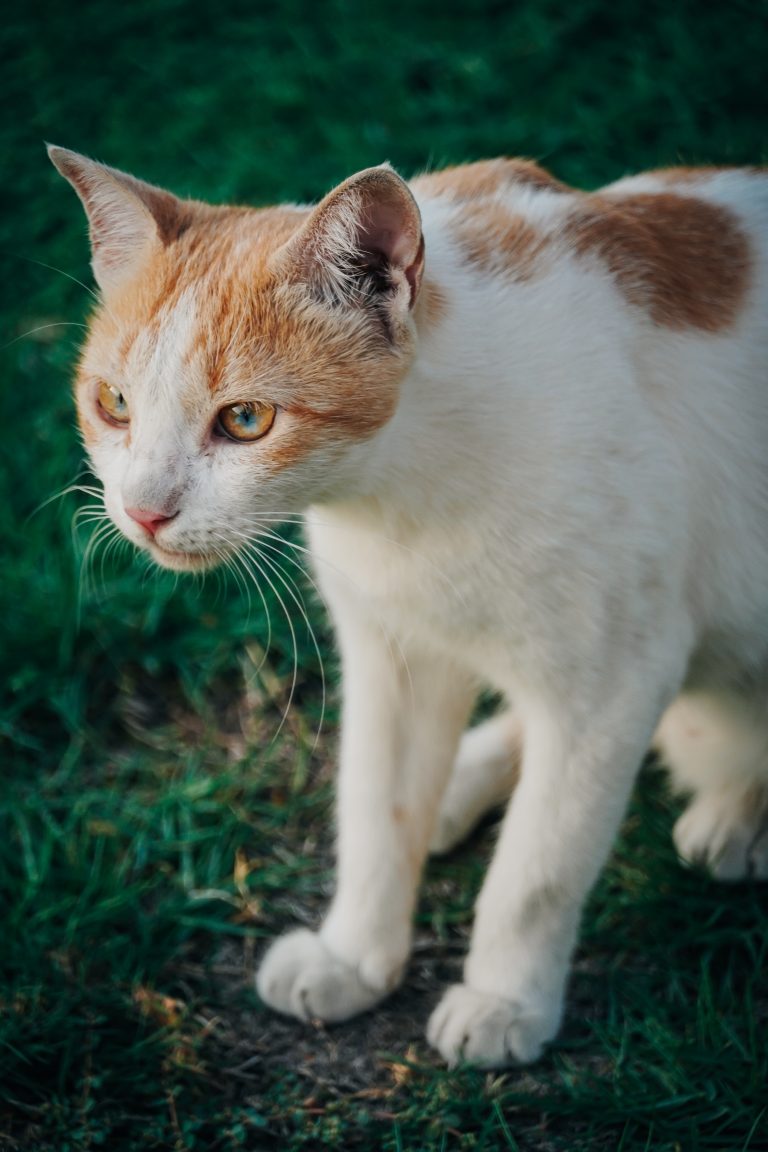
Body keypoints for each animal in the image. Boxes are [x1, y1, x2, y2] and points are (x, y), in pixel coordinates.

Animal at [49, 146, 768, 1069]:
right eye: (113, 404)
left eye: (245, 419)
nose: (143, 511)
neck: (405, 492)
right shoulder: (393, 651)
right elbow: (376, 808)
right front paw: (354, 957)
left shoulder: (612, 680)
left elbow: (540, 866)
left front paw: (503, 999)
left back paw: (737, 811)